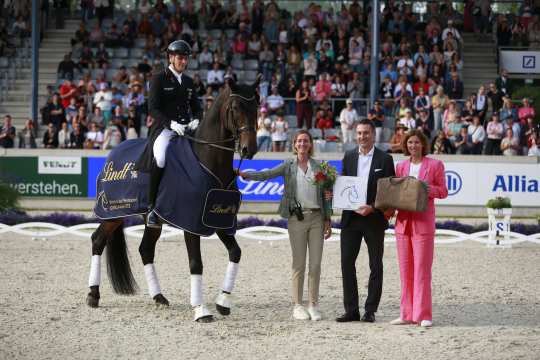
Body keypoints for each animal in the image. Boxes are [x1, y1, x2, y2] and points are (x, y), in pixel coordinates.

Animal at [86, 77, 260, 322]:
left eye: (256, 107)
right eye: (235, 108)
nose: (249, 149)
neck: (209, 162)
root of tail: (114, 151)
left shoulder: (219, 221)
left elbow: (236, 253)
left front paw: (223, 301)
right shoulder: (190, 224)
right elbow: (196, 263)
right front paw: (201, 310)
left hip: (152, 221)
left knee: (145, 250)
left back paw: (158, 297)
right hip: (113, 213)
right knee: (98, 240)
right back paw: (93, 295)